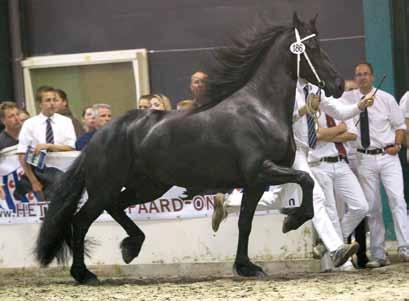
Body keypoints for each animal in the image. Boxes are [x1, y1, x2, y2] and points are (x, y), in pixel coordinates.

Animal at [35, 12, 342, 282]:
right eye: (313, 47)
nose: (338, 85)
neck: (259, 110)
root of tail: (100, 135)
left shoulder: (255, 183)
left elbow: (245, 222)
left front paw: (246, 266)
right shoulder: (261, 171)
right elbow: (305, 180)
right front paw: (292, 221)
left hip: (147, 187)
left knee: (115, 208)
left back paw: (130, 247)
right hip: (105, 187)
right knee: (81, 221)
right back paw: (84, 273)